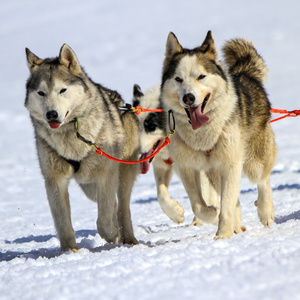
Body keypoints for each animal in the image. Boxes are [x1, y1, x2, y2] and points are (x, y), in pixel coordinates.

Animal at [24, 44, 139, 251]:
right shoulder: (54, 180)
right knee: (114, 205)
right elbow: (63, 222)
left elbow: (104, 222)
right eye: (41, 93)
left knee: (122, 207)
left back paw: (127, 238)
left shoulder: (106, 175)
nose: (51, 114)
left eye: (62, 90)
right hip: (88, 186)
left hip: (121, 174)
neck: (72, 135)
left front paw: (111, 234)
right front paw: (70, 251)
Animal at [159, 31, 276, 239]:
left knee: (262, 179)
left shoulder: (230, 164)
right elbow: (198, 205)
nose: (188, 98)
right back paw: (237, 226)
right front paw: (214, 215)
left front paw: (222, 236)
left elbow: (228, 204)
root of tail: (244, 75)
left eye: (201, 76)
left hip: (253, 160)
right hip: (213, 173)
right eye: (178, 79)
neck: (202, 134)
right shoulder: (187, 167)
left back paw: (265, 211)